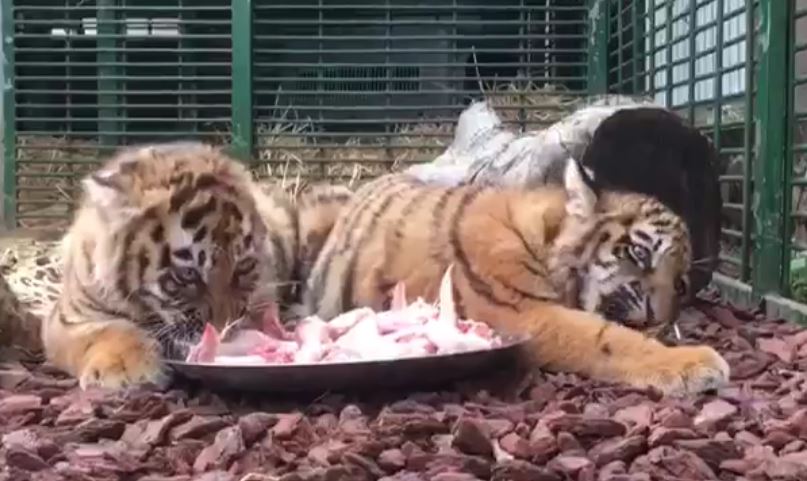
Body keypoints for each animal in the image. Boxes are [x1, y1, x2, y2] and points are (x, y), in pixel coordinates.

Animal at [40, 141, 353, 390]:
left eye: (243, 266)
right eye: (188, 273)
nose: (223, 331)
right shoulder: (69, 317)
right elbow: (107, 331)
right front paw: (127, 370)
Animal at [303, 158, 730, 396]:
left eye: (680, 284)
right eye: (641, 254)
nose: (659, 320)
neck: (544, 237)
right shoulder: (520, 312)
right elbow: (608, 338)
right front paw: (696, 362)